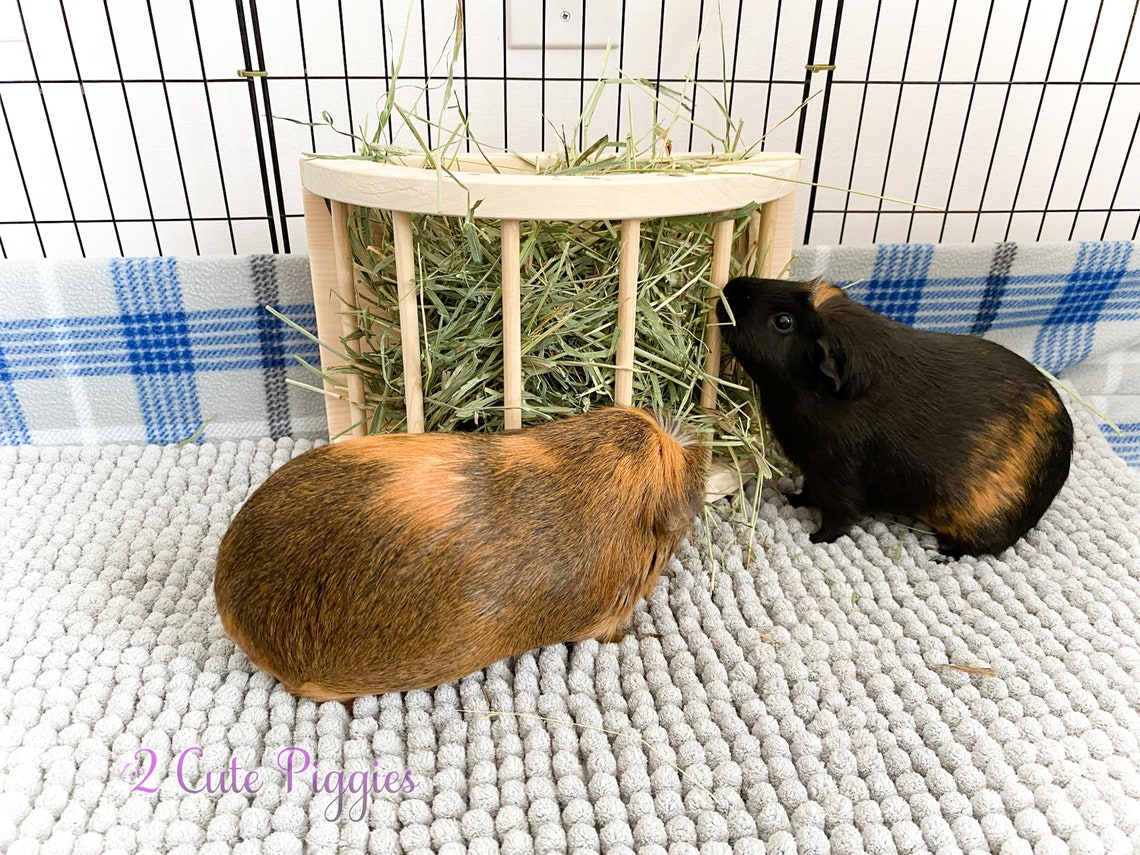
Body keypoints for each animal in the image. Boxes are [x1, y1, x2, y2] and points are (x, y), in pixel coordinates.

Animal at [716, 276, 1073, 558]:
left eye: (784, 322)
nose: (729, 288)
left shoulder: (838, 474)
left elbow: (839, 515)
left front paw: (815, 538)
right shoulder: (814, 471)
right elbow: (809, 492)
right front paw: (792, 499)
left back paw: (940, 554)